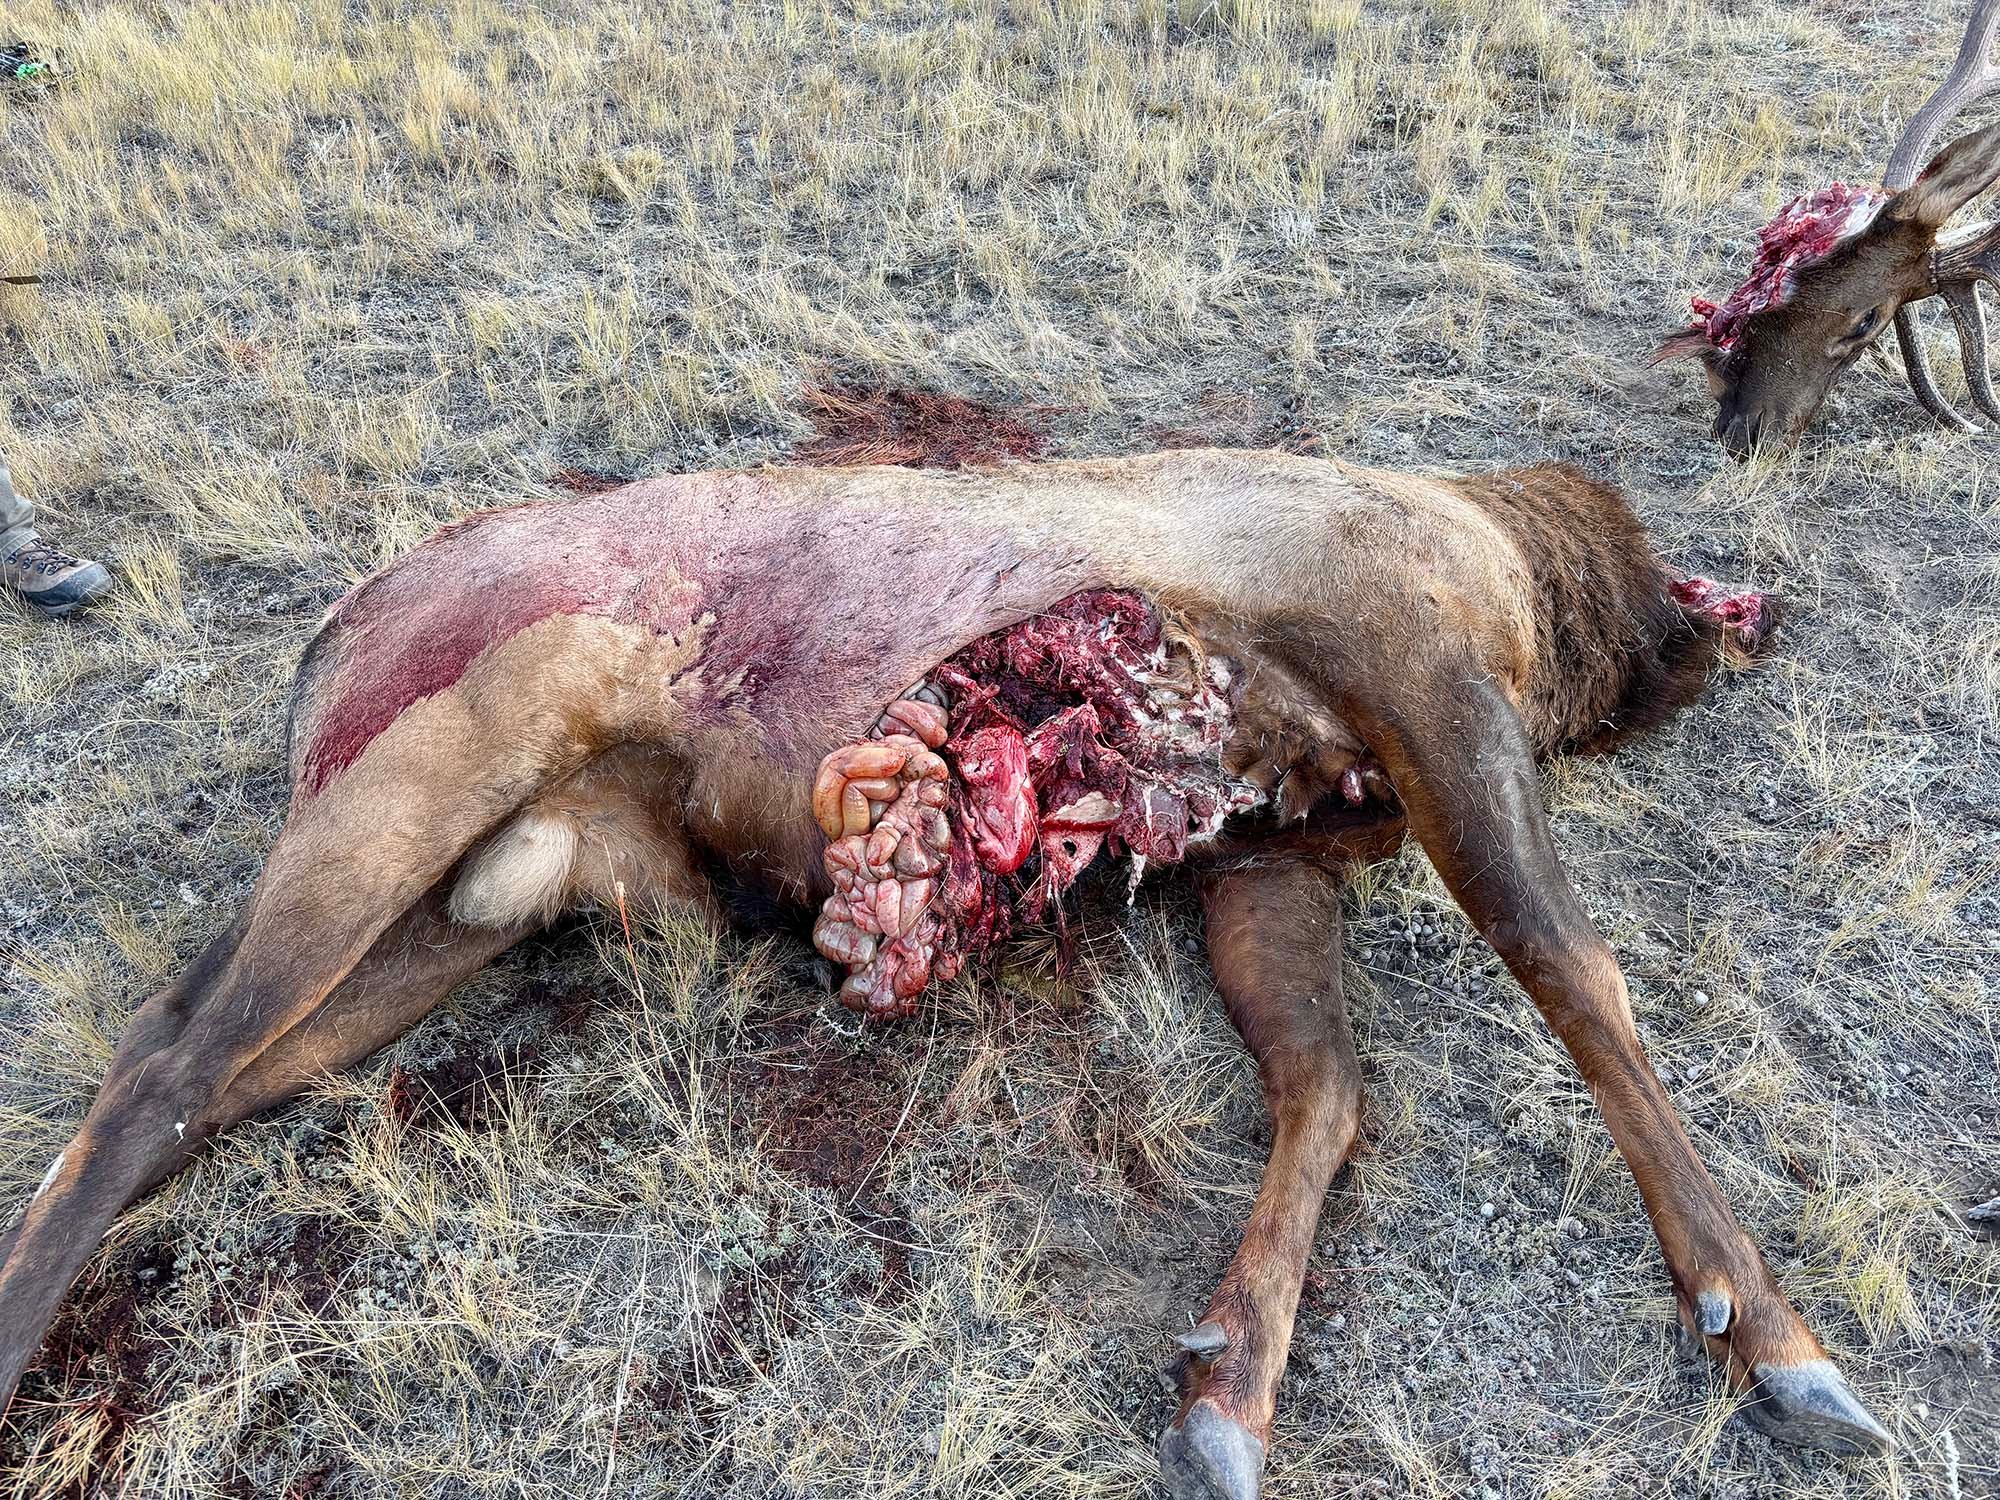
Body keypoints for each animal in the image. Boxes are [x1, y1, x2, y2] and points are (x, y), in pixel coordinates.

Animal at [0, 447, 1891, 1498]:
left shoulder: (1266, 848)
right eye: (1654, 565)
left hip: (474, 903)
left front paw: (1231, 1384)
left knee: (225, 1080)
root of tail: (326, 641)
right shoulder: (1416, 662)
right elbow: (1577, 972)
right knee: (163, 1053)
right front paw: (1779, 1337)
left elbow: (1331, 1083)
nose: (1738, 613)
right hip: (448, 742)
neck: (1508, 581)